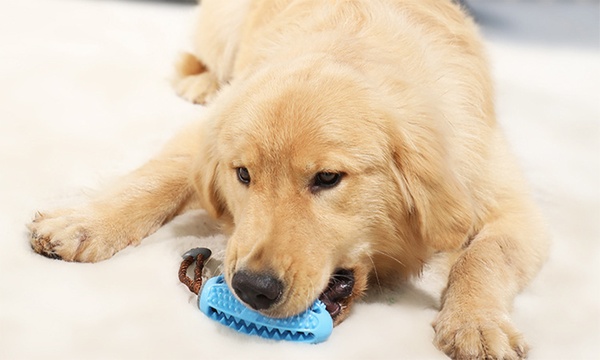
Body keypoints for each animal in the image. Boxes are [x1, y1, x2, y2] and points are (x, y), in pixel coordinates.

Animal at [30, 1, 552, 358]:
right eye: (243, 174)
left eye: (328, 178)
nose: (252, 288)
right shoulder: (210, 131)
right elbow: (159, 176)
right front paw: (84, 222)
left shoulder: (509, 204)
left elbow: (483, 257)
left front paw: (475, 323)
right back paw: (199, 82)